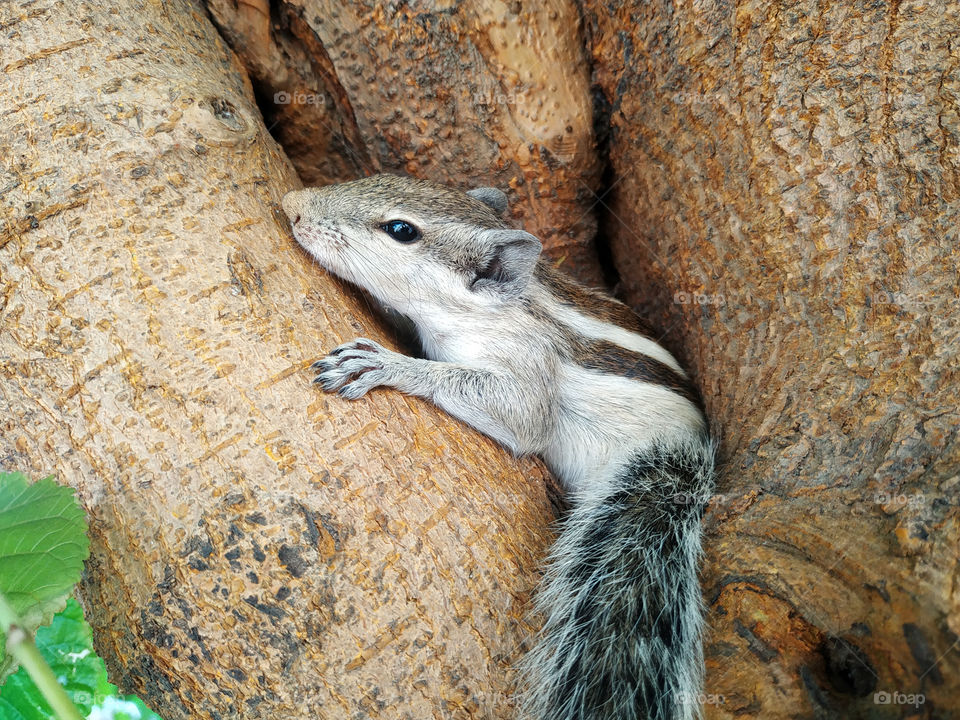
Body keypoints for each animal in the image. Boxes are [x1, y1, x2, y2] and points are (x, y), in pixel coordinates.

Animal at [281, 174, 715, 720]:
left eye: (401, 230)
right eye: (382, 179)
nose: (292, 205)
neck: (495, 309)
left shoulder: (527, 363)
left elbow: (519, 417)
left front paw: (392, 366)